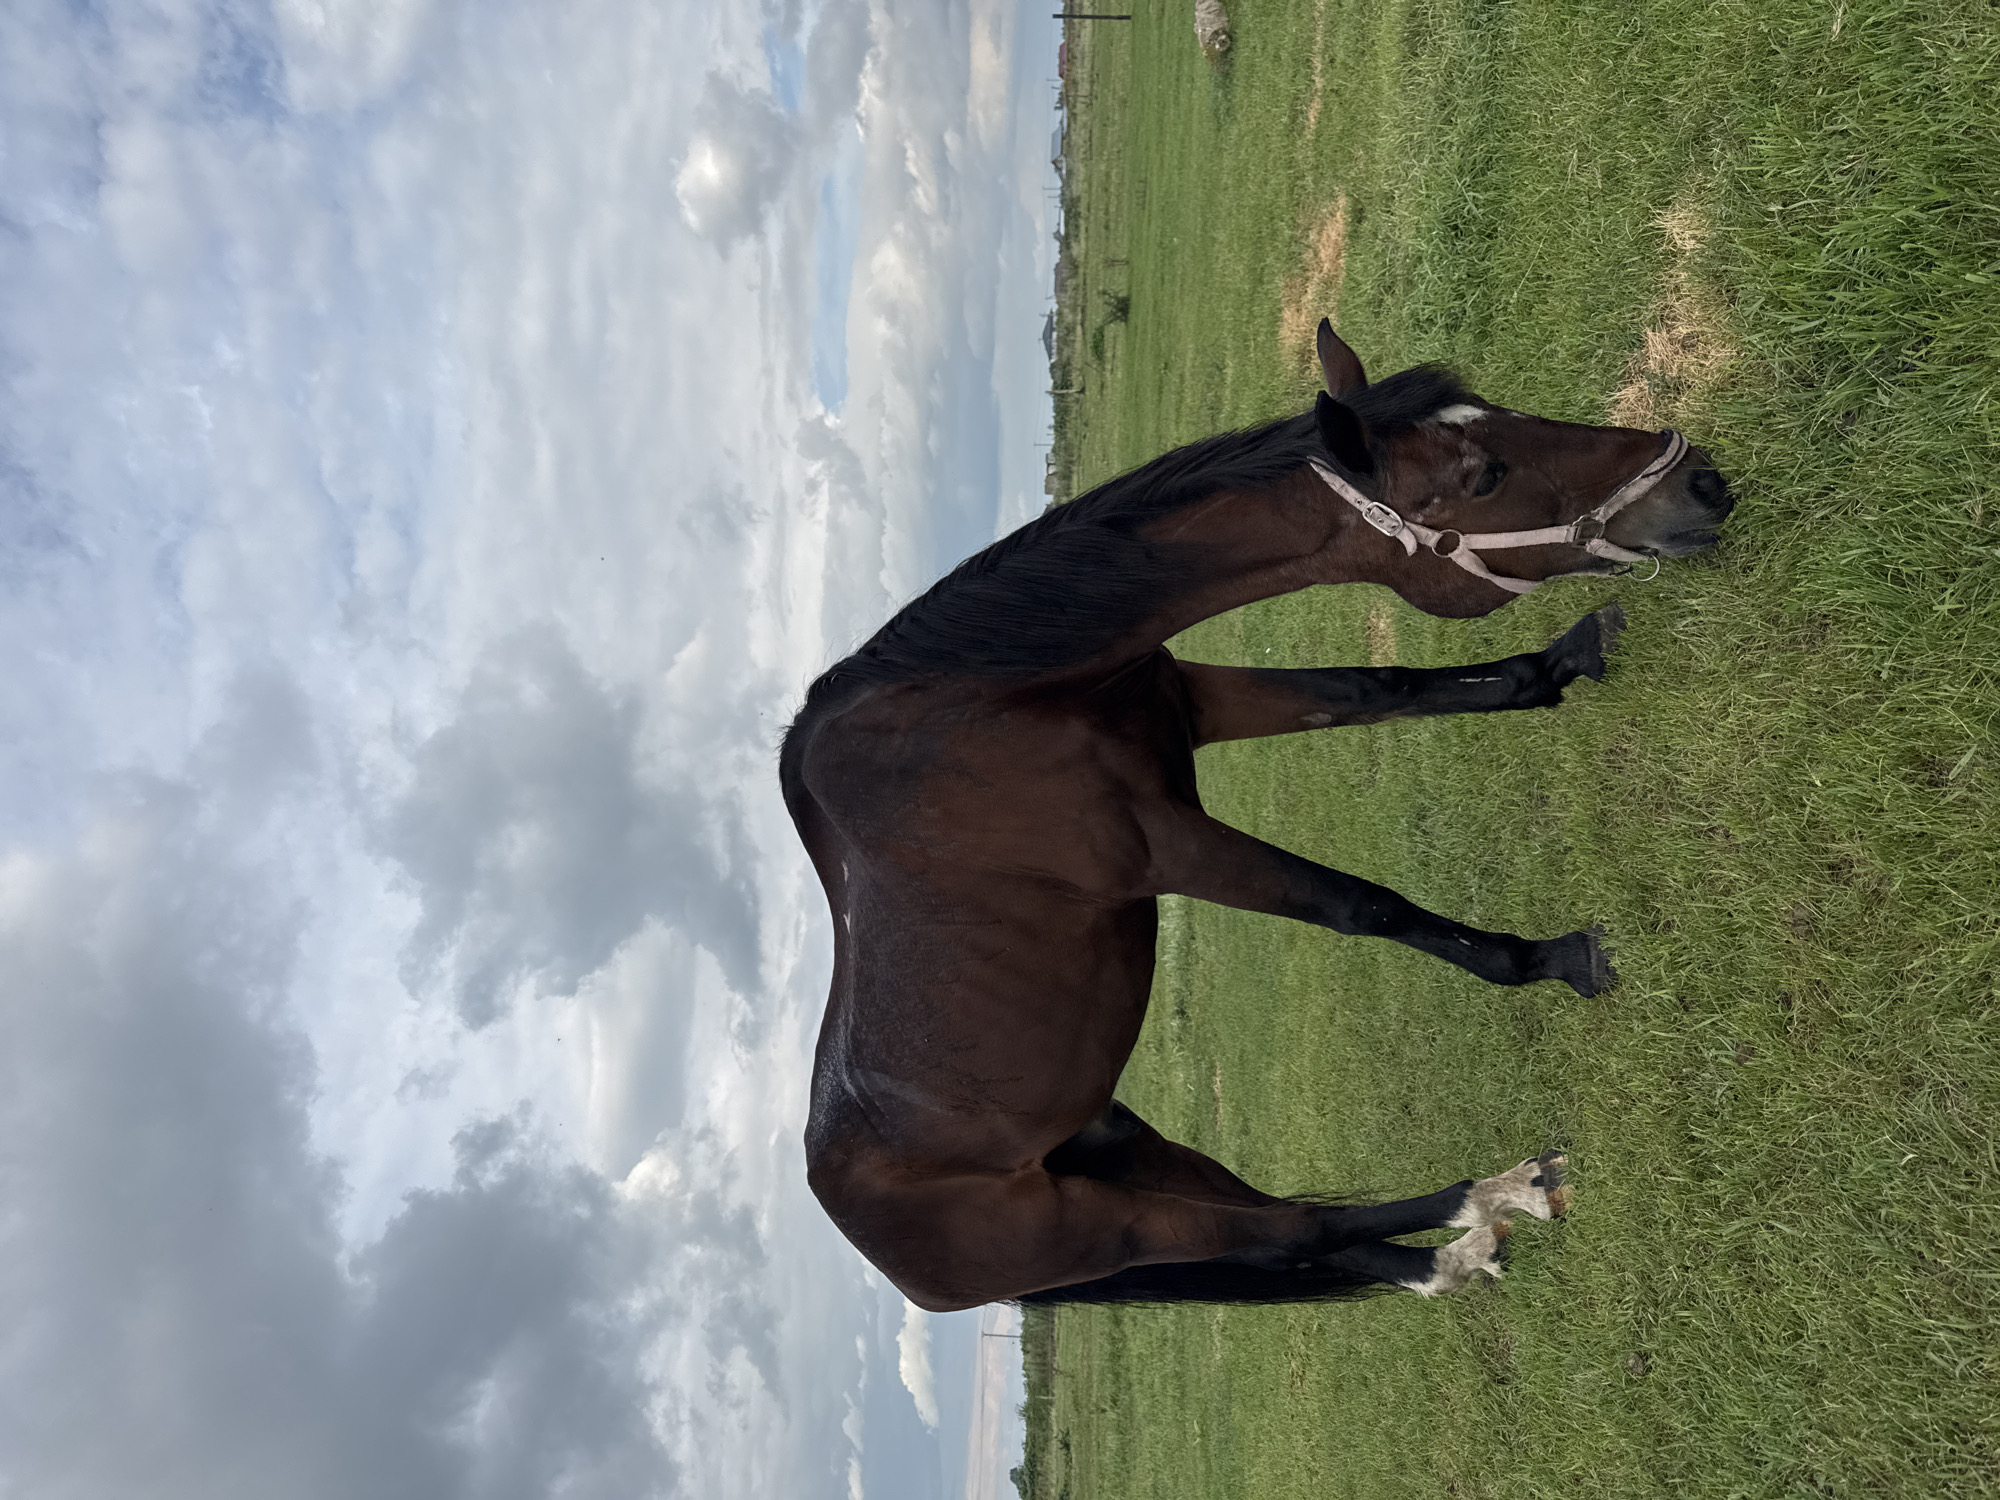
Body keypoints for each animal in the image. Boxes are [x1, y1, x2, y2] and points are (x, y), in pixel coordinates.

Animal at [781, 322, 1735, 1311]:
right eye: (1485, 476)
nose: (1703, 483)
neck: (981, 704)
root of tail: (872, 1239)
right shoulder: (1158, 844)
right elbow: (1363, 906)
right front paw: (1555, 959)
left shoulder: (1198, 704)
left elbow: (1375, 689)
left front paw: (1563, 659)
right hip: (1103, 1228)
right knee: (1293, 1232)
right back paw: (1489, 1195)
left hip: (1136, 1154)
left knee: (1299, 1242)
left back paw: (1450, 1258)